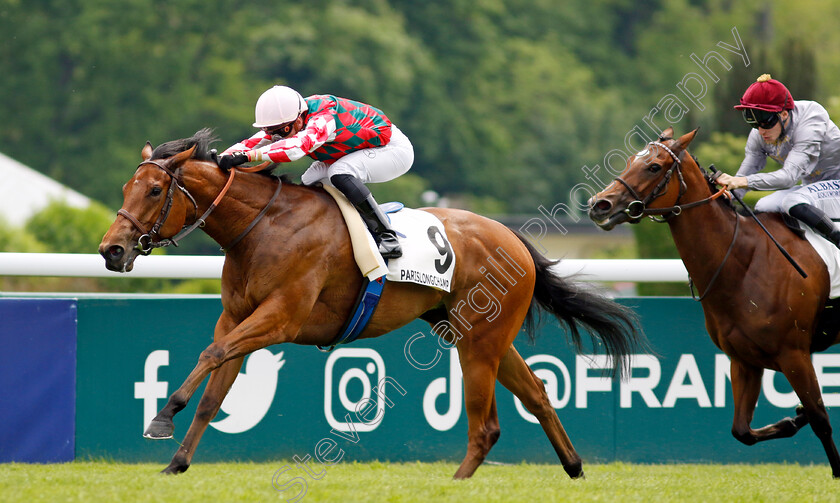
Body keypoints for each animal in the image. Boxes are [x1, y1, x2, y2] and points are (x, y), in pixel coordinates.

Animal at [100, 128, 644, 478]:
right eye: (126, 187)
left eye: (154, 189)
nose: (112, 250)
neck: (263, 227)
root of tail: (512, 238)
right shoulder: (236, 317)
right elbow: (215, 390)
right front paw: (176, 463)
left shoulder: (280, 318)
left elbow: (211, 355)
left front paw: (161, 417)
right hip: (480, 334)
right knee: (536, 394)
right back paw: (574, 468)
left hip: (479, 342)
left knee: (486, 424)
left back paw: (459, 483)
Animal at [588, 128, 840, 478]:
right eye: (628, 161)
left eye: (653, 166)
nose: (599, 204)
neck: (743, 262)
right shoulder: (744, 360)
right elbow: (742, 431)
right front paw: (793, 418)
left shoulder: (794, 354)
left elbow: (821, 419)